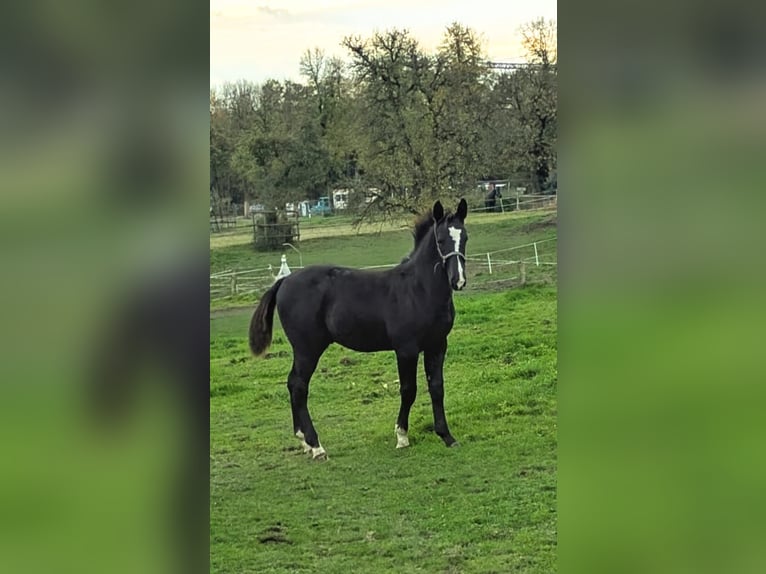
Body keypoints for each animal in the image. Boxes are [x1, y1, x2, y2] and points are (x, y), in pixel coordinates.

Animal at [249, 200, 472, 462]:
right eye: (440, 239)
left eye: (464, 237)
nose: (458, 280)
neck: (418, 290)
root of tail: (284, 281)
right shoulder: (406, 349)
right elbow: (409, 390)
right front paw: (402, 437)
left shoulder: (437, 345)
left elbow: (436, 388)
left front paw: (446, 436)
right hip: (307, 349)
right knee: (298, 386)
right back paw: (316, 446)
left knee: (293, 384)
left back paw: (304, 441)